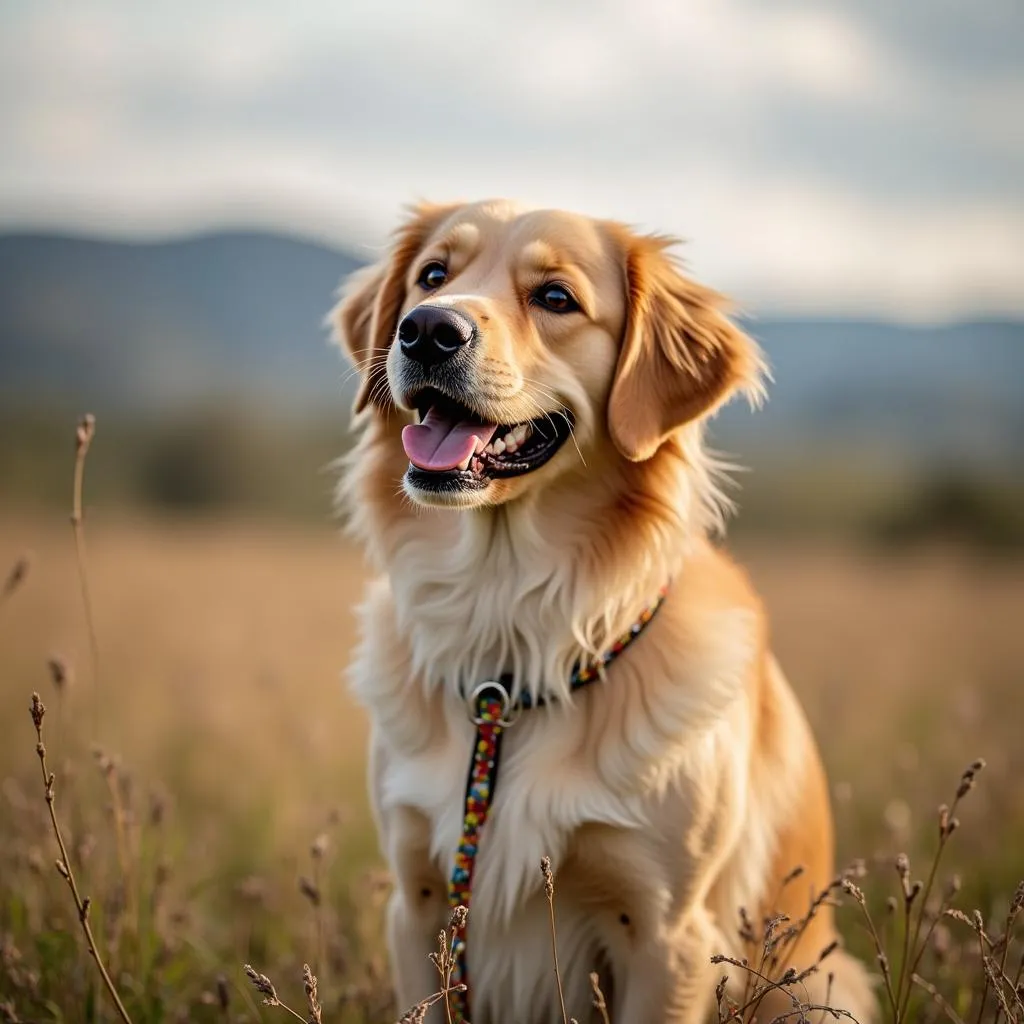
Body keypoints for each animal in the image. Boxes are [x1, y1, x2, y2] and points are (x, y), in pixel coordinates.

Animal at [331, 199, 876, 1024]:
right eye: (433, 275)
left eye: (556, 297)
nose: (426, 329)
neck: (510, 637)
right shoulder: (421, 901)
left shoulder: (667, 934)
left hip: (821, 986)